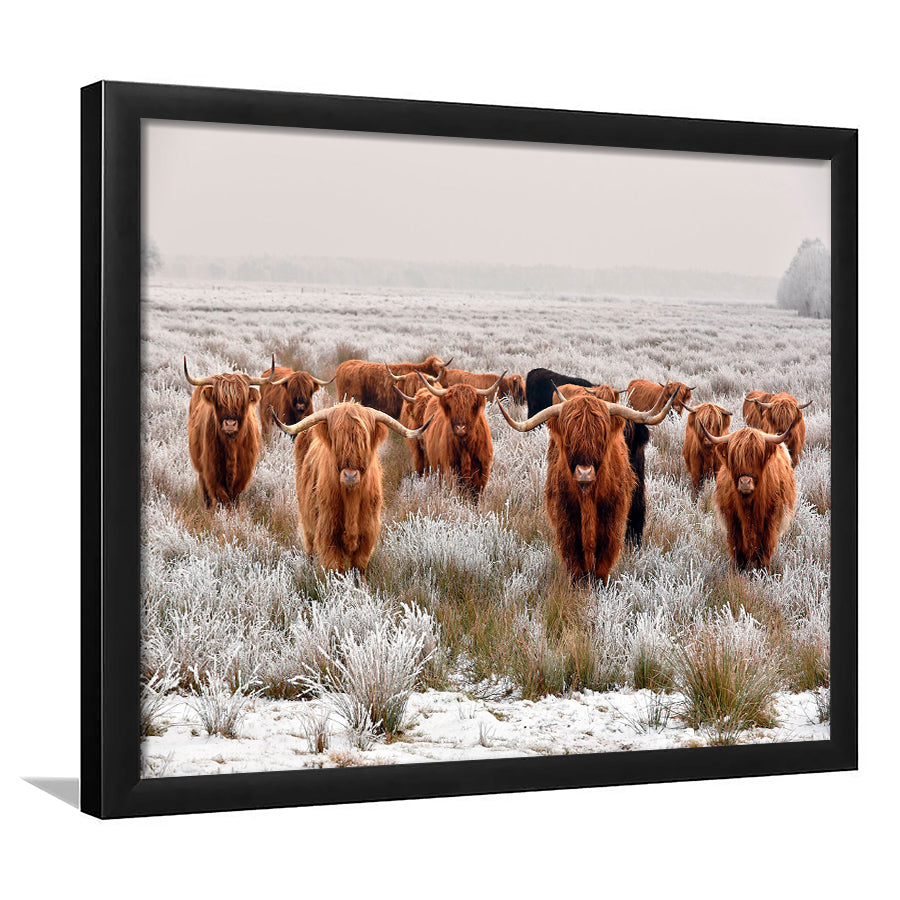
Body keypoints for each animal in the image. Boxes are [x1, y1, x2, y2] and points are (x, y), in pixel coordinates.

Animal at [184, 356, 275, 508]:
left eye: (242, 401)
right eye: (219, 401)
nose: (230, 424)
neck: (232, 445)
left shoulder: (243, 474)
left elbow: (233, 499)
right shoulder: (212, 472)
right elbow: (223, 498)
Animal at [272, 402, 433, 573]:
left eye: (364, 440)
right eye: (337, 439)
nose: (350, 475)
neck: (351, 500)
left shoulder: (367, 534)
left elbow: (358, 567)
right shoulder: (328, 533)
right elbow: (335, 569)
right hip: (307, 520)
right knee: (310, 548)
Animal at [413, 371, 504, 500]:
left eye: (471, 406)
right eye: (451, 406)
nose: (460, 428)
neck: (465, 447)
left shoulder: (482, 472)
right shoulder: (450, 470)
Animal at [499, 387, 677, 583]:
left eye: (602, 436)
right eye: (568, 438)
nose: (584, 473)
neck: (587, 499)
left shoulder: (611, 522)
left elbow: (603, 560)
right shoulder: (566, 521)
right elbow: (575, 560)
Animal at [699, 420, 797, 571]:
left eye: (758, 456)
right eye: (734, 458)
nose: (745, 482)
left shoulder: (770, 521)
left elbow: (765, 550)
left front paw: (763, 570)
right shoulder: (732, 521)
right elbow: (738, 550)